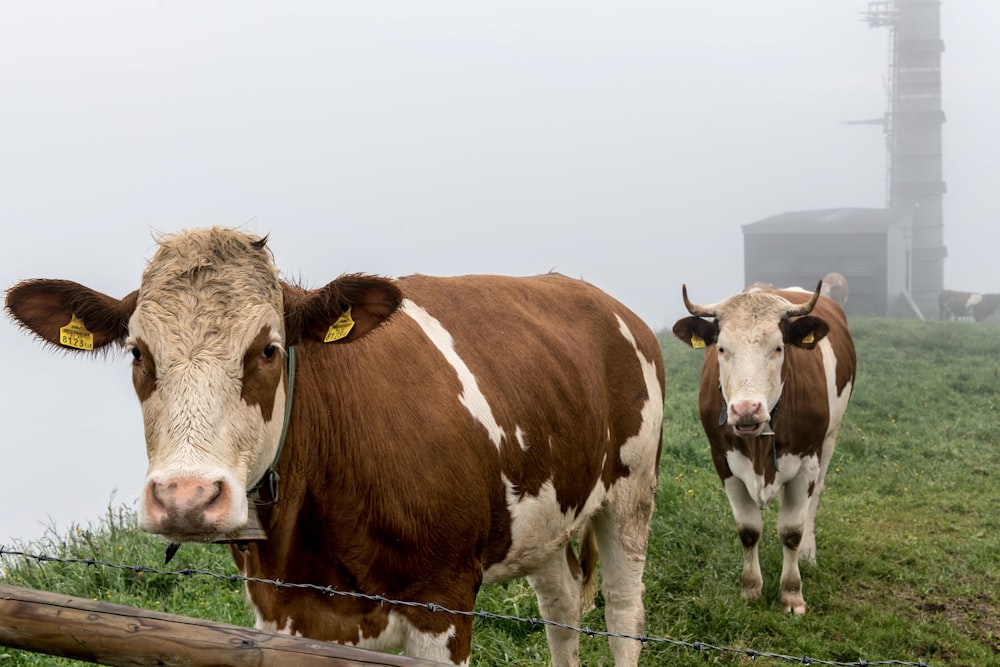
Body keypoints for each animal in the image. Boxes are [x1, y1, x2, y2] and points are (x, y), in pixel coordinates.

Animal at [7, 227, 668, 664]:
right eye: (138, 353)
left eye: (268, 349)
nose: (186, 499)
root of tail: (599, 298)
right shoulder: (286, 612)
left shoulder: (444, 602)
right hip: (545, 516)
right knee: (562, 609)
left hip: (632, 494)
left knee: (622, 611)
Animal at [672, 282, 852, 616]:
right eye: (721, 349)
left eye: (779, 348)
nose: (746, 410)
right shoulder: (723, 460)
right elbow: (748, 529)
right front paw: (751, 588)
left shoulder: (807, 459)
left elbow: (791, 530)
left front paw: (792, 593)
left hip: (830, 438)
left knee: (816, 496)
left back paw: (808, 553)